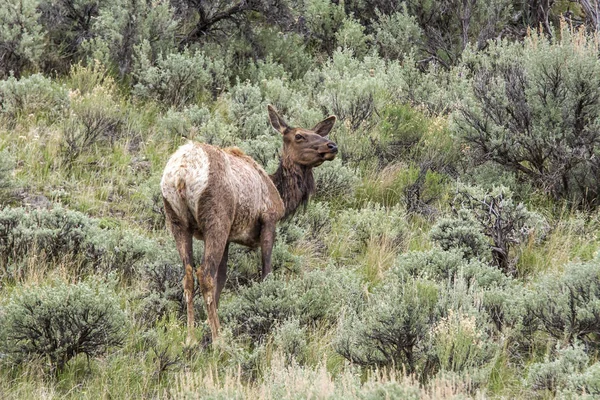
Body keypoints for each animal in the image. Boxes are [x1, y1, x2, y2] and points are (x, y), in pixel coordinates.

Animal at [159, 104, 338, 342]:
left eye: (318, 133)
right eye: (299, 136)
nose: (332, 145)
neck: (281, 194)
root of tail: (182, 173)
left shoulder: (229, 237)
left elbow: (222, 279)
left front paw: (207, 324)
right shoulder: (269, 220)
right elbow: (266, 271)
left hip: (177, 221)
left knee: (188, 275)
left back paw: (190, 338)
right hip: (216, 219)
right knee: (204, 274)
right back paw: (219, 341)